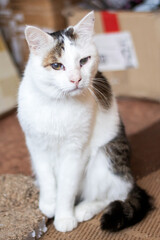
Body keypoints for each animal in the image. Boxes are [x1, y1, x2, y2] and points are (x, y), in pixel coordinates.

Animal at [17, 11, 152, 232]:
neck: (57, 103)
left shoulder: (76, 150)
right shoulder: (35, 144)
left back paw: (83, 209)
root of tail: (130, 176)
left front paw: (64, 217)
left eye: (84, 61)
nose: (76, 79)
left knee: (116, 193)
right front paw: (48, 203)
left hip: (104, 158)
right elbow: (46, 177)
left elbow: (66, 188)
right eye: (56, 65)